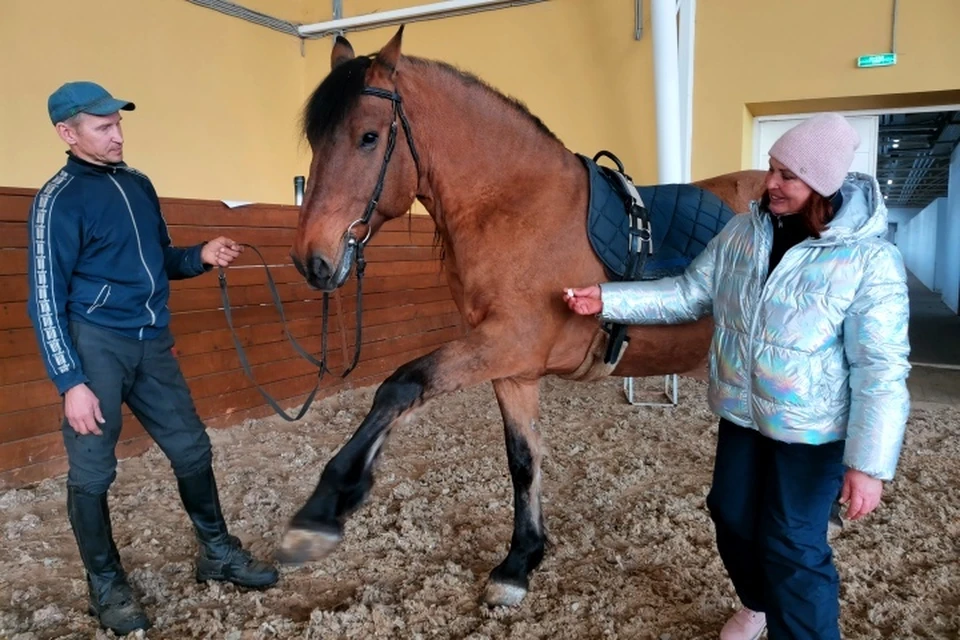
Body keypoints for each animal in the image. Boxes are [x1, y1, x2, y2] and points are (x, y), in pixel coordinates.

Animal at [280, 27, 764, 608]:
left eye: (368, 137)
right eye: (315, 141)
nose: (312, 259)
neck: (515, 207)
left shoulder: (508, 341)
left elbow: (400, 385)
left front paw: (324, 508)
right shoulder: (512, 367)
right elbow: (523, 459)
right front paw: (520, 561)